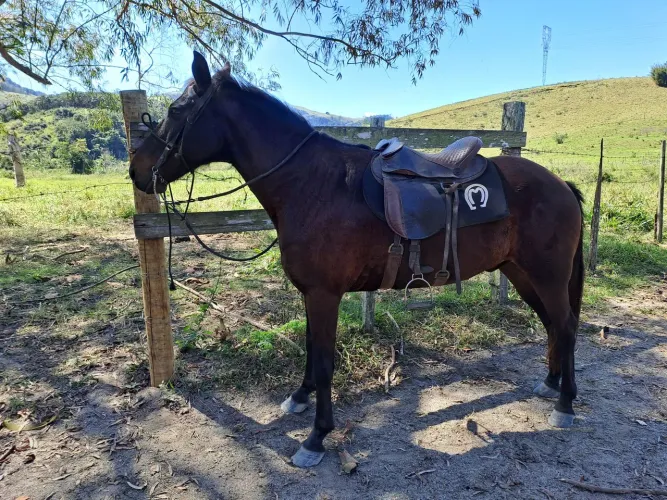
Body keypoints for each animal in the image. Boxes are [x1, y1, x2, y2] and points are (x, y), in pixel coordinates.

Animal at [130, 52, 584, 468]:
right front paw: (299, 397)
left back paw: (565, 403)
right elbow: (311, 349)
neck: (312, 183)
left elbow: (325, 362)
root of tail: (560, 184)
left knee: (565, 325)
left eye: (176, 111)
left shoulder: (324, 294)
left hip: (547, 275)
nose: (136, 170)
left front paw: (316, 437)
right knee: (552, 325)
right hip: (522, 273)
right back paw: (550, 383)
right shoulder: (312, 293)